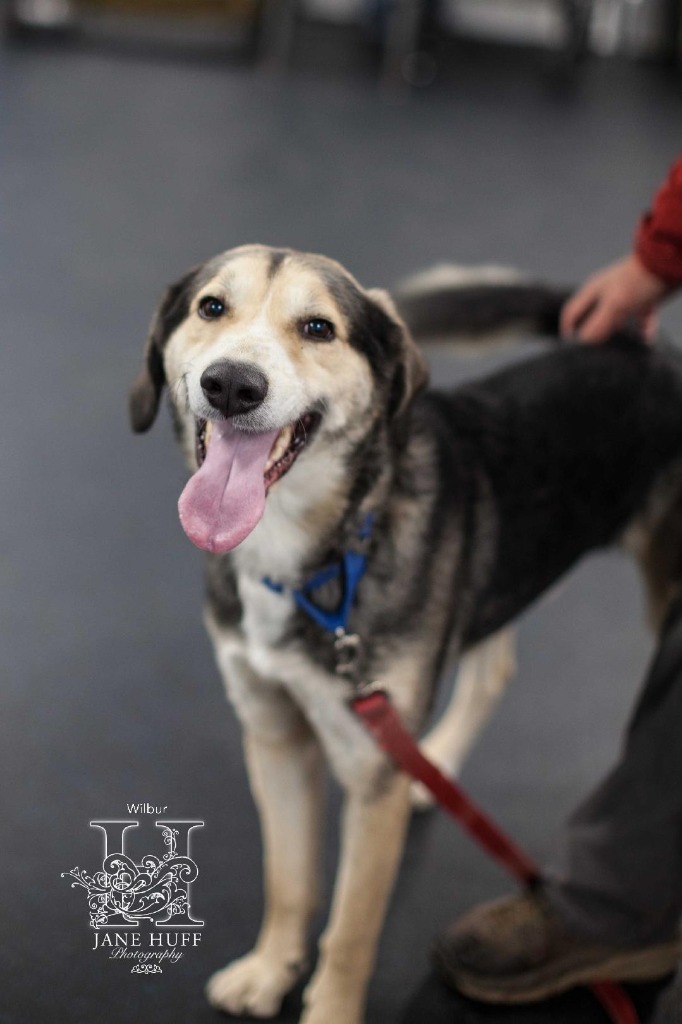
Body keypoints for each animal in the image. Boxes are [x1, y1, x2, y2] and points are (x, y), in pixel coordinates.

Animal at [130, 245, 679, 1024]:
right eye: (211, 307)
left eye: (319, 327)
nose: (232, 384)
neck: (313, 551)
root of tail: (651, 351)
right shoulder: (273, 735)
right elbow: (288, 880)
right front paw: (269, 970)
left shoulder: (371, 780)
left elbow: (352, 929)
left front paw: (329, 1011)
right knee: (492, 668)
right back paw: (435, 762)